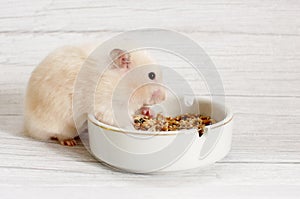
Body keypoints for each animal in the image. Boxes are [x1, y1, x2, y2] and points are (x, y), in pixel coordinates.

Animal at [24, 44, 165, 146]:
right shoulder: (107, 107)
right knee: (55, 134)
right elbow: (121, 119)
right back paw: (69, 142)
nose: (164, 98)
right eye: (151, 75)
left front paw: (148, 112)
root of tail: (27, 126)